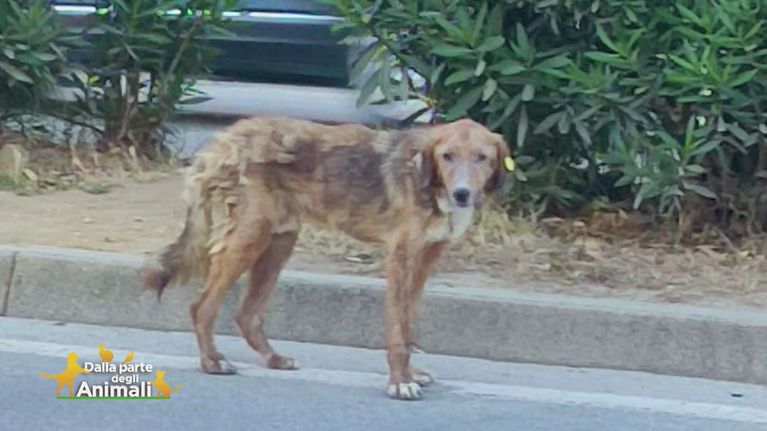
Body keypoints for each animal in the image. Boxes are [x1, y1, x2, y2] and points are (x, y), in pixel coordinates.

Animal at [142, 116, 510, 400]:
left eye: (482, 157)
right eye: (447, 156)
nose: (462, 194)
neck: (428, 182)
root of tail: (224, 138)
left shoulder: (425, 260)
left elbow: (408, 325)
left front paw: (409, 373)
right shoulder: (400, 257)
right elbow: (397, 329)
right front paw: (399, 383)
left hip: (279, 242)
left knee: (246, 314)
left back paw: (274, 359)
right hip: (249, 238)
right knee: (202, 306)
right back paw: (212, 362)